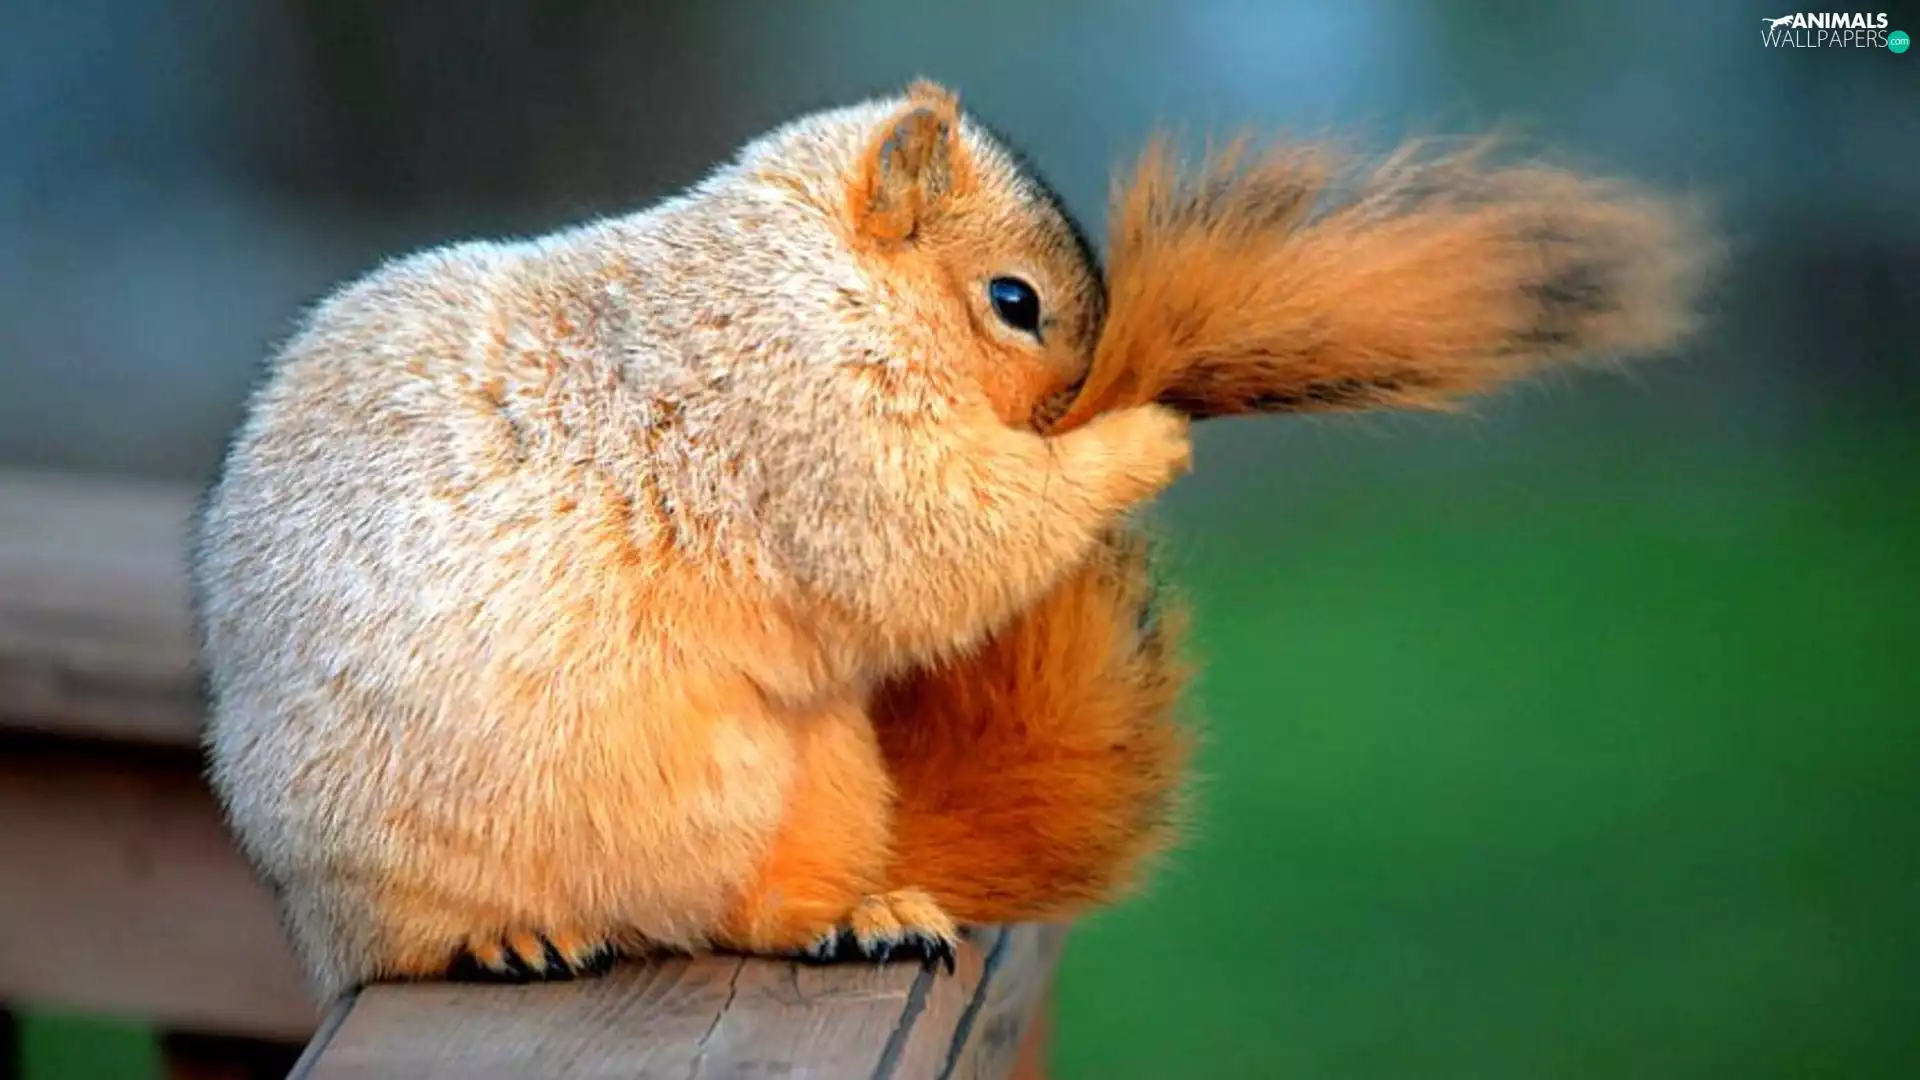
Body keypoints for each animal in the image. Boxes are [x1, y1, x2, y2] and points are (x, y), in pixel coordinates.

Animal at [192, 80, 1708, 1000]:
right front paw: (1134, 443)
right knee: (413, 946)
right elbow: (940, 534)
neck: (813, 277)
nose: (1069, 401)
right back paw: (503, 939)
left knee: (748, 914)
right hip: (381, 870)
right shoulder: (803, 422)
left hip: (816, 785)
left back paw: (852, 918)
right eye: (1015, 300)